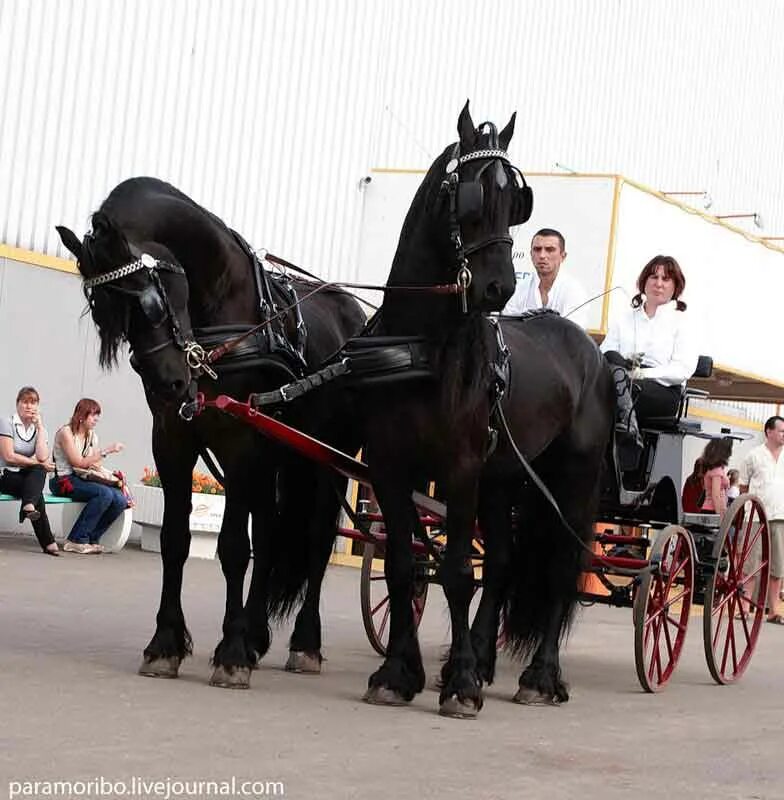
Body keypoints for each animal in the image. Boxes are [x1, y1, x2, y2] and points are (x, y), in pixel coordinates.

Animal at [57, 180, 364, 688]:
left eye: (150, 301)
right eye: (103, 313)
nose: (170, 384)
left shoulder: (240, 442)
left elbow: (235, 548)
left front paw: (232, 653)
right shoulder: (173, 439)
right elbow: (174, 539)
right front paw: (166, 644)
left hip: (326, 458)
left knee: (317, 539)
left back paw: (304, 644)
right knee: (272, 532)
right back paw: (257, 634)